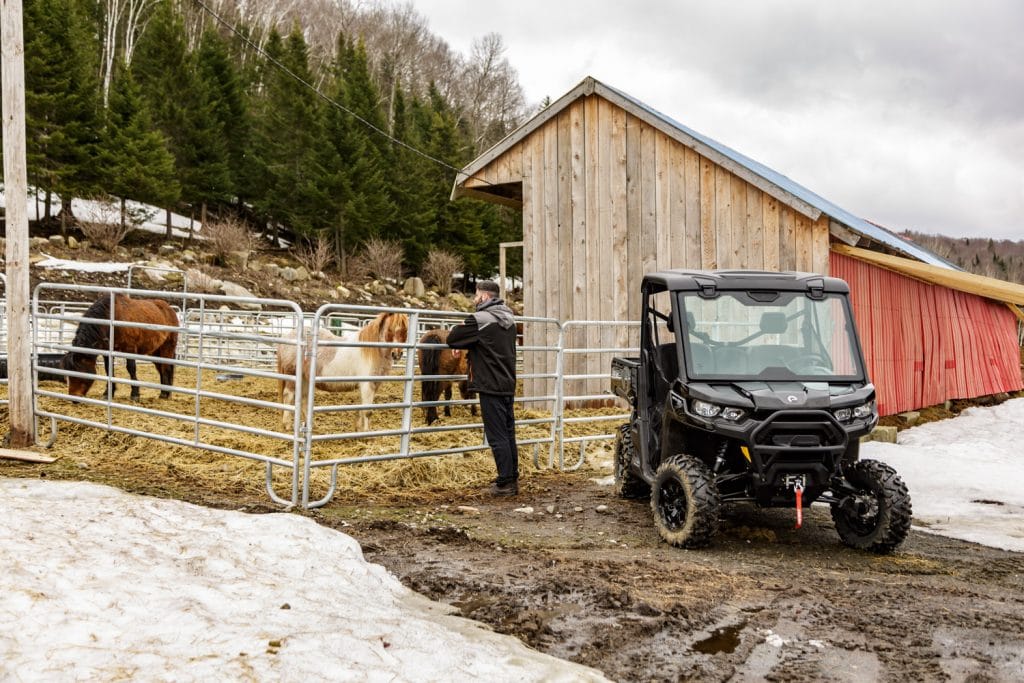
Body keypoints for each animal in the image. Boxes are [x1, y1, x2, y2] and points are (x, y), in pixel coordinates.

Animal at [280, 311, 411, 432]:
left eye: (405, 330)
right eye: (390, 329)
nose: (397, 354)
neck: (373, 350)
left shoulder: (374, 384)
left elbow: (362, 406)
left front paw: (358, 428)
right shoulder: (367, 384)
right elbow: (367, 410)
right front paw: (366, 433)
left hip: (305, 378)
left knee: (303, 399)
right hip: (293, 375)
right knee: (288, 395)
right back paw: (287, 425)